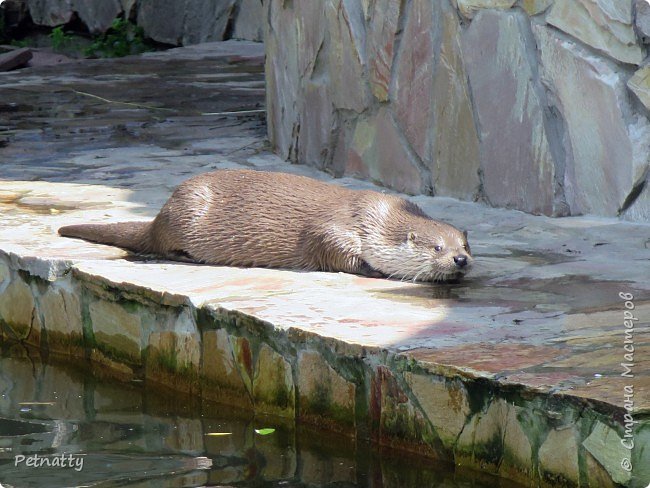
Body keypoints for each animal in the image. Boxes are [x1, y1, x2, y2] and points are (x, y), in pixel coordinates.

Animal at [58, 169, 470, 280]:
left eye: (464, 246)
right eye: (437, 248)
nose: (460, 260)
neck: (379, 219)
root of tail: (160, 213)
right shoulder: (338, 226)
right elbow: (331, 248)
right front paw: (375, 270)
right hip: (186, 213)